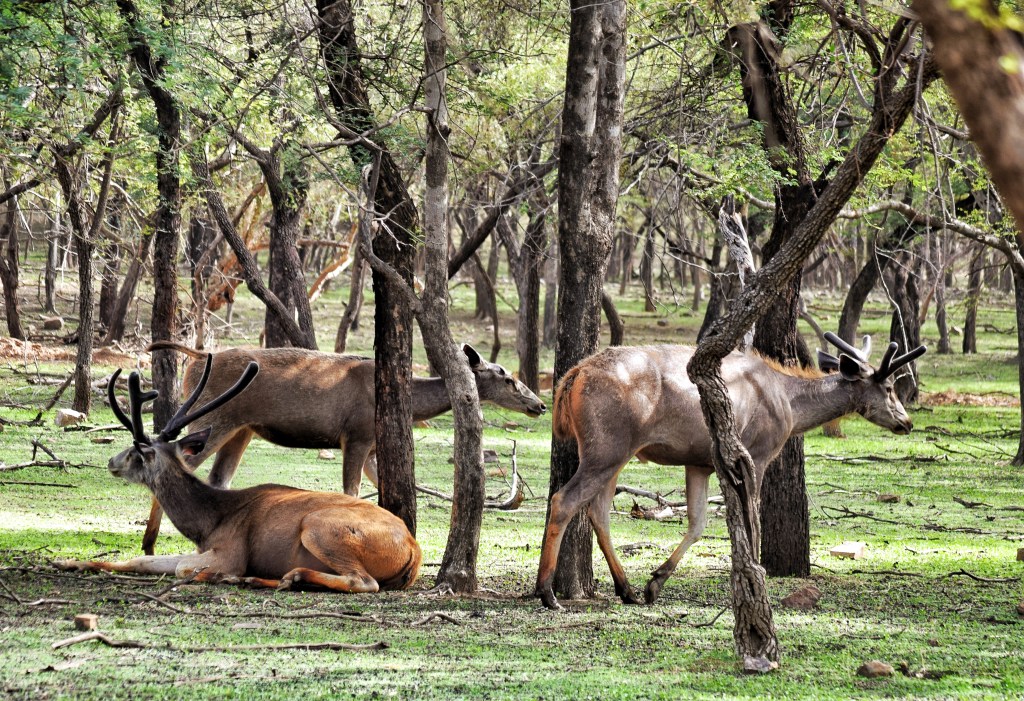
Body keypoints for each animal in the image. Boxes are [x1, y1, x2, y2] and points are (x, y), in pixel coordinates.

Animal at [56, 357, 422, 593]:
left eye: (135, 451)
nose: (111, 461)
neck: (208, 524)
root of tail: (414, 550)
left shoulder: (231, 550)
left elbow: (182, 567)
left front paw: (210, 576)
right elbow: (139, 561)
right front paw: (70, 563)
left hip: (321, 527)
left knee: (365, 582)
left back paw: (276, 577)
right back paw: (270, 579)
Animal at [140, 342, 546, 554]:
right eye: (507, 378)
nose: (539, 404)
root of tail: (193, 362)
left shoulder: (371, 449)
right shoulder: (357, 436)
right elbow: (351, 492)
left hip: (243, 429)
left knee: (216, 477)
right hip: (215, 416)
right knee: (176, 456)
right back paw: (148, 542)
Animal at [535, 333, 926, 610]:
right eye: (888, 387)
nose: (906, 422)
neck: (790, 404)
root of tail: (572, 376)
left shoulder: (699, 463)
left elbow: (697, 524)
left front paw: (656, 581)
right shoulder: (757, 453)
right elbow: (752, 517)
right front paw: (757, 573)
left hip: (612, 452)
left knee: (597, 509)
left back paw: (627, 589)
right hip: (608, 446)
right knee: (564, 500)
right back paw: (547, 593)